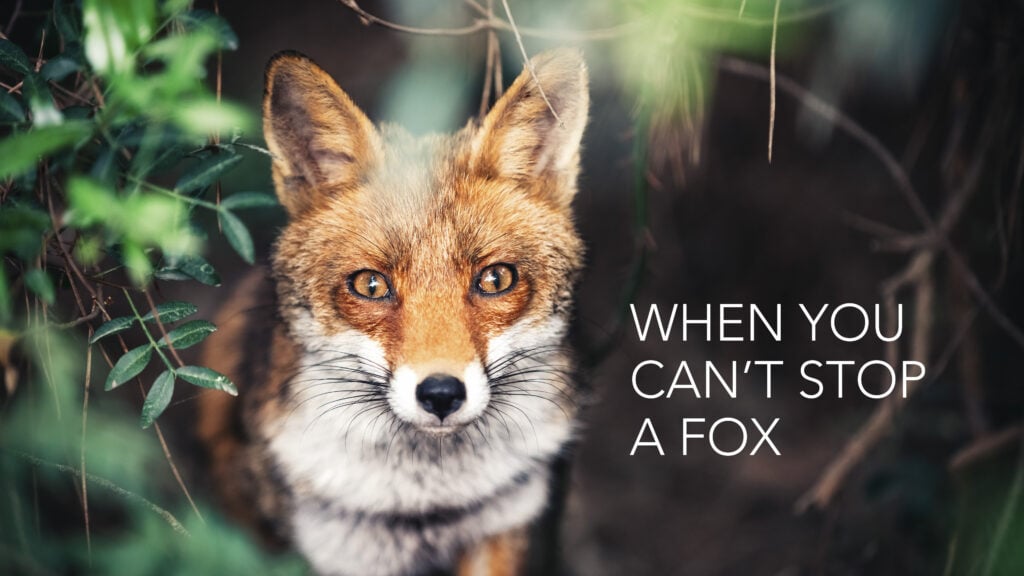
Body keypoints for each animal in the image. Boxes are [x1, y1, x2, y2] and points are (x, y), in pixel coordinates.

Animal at [196, 47, 589, 576]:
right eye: (371, 285)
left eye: (495, 280)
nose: (441, 394)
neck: (427, 504)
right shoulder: (343, 551)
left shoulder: (501, 528)